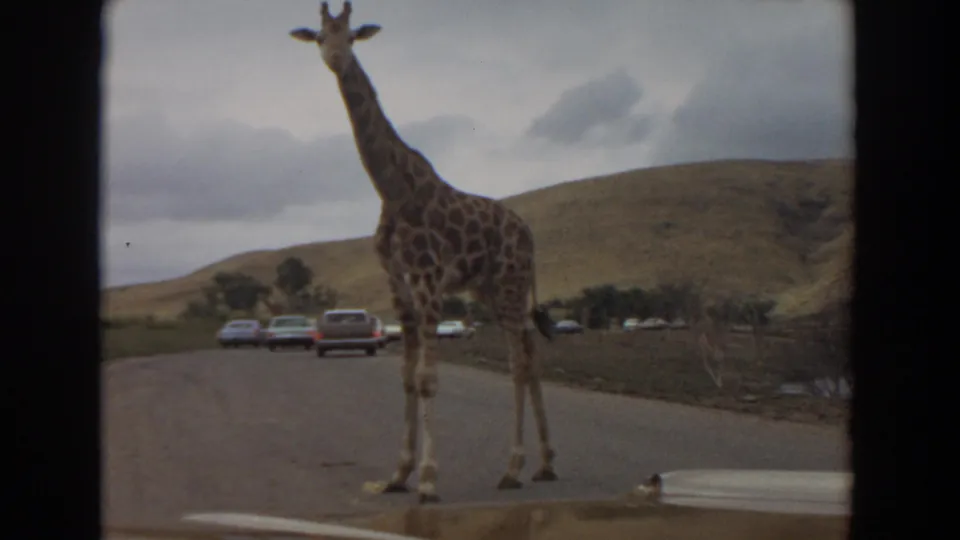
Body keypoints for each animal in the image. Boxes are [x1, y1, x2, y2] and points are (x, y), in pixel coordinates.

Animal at [290, 1, 558, 503]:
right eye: (318, 37)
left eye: (350, 36)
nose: (335, 59)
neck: (391, 190)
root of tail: (529, 231)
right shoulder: (399, 284)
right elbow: (406, 377)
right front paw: (398, 474)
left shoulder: (429, 281)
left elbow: (428, 379)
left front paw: (430, 479)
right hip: (492, 290)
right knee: (531, 356)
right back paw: (545, 464)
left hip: (511, 283)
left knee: (518, 362)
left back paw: (513, 468)